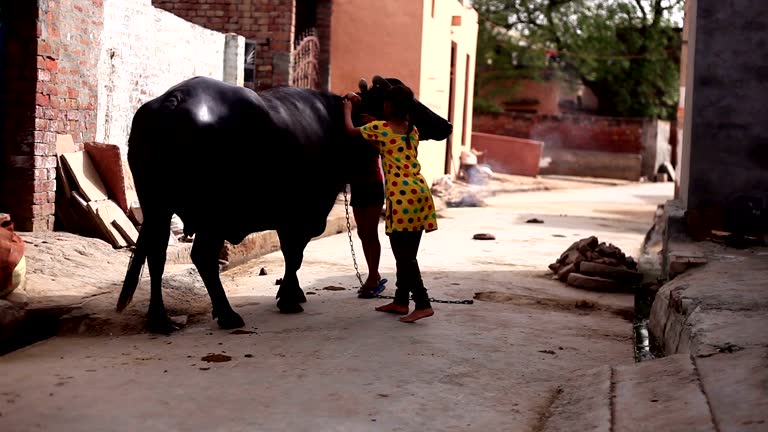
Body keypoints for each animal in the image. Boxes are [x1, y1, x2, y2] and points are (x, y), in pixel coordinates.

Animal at [115, 76, 450, 332]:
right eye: (410, 102)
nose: (445, 124)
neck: (335, 127)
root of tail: (174, 100)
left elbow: (294, 255)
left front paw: (293, 294)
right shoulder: (303, 214)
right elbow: (294, 254)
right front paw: (289, 298)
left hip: (157, 207)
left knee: (156, 255)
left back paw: (160, 320)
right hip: (212, 215)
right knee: (202, 257)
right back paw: (227, 315)